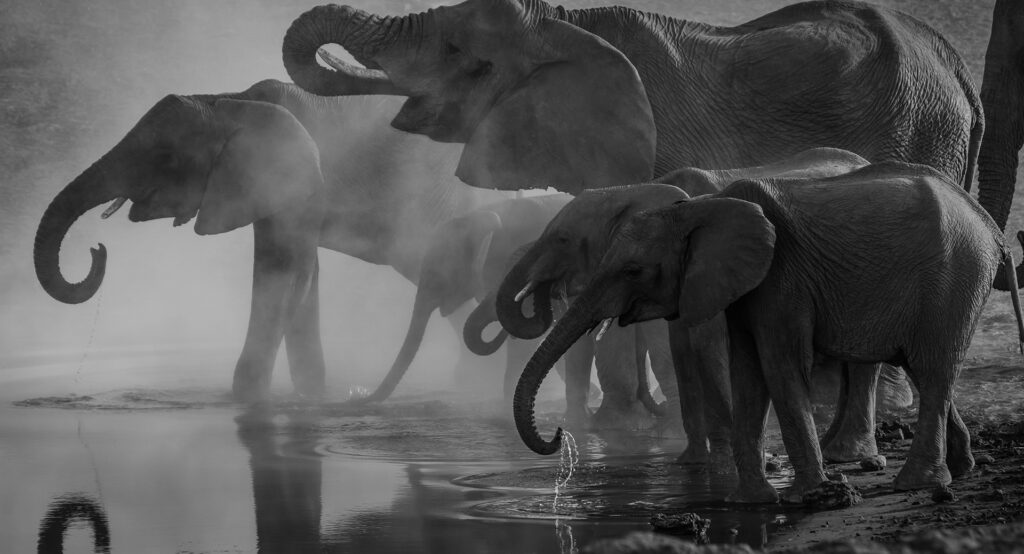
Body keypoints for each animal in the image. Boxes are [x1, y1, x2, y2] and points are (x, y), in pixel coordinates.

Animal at [33, 78, 514, 402]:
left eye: (165, 157)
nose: (97, 250)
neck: (229, 100)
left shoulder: (294, 177)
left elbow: (284, 276)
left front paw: (249, 402)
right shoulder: (268, 187)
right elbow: (300, 276)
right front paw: (310, 398)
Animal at [512, 164, 1024, 505]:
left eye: (633, 270)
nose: (559, 434)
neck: (697, 209)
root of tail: (991, 227)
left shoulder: (783, 277)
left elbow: (779, 365)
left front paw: (807, 496)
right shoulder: (740, 285)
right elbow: (747, 370)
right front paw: (751, 501)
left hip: (954, 278)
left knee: (933, 370)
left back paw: (918, 484)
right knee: (925, 368)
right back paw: (961, 469)